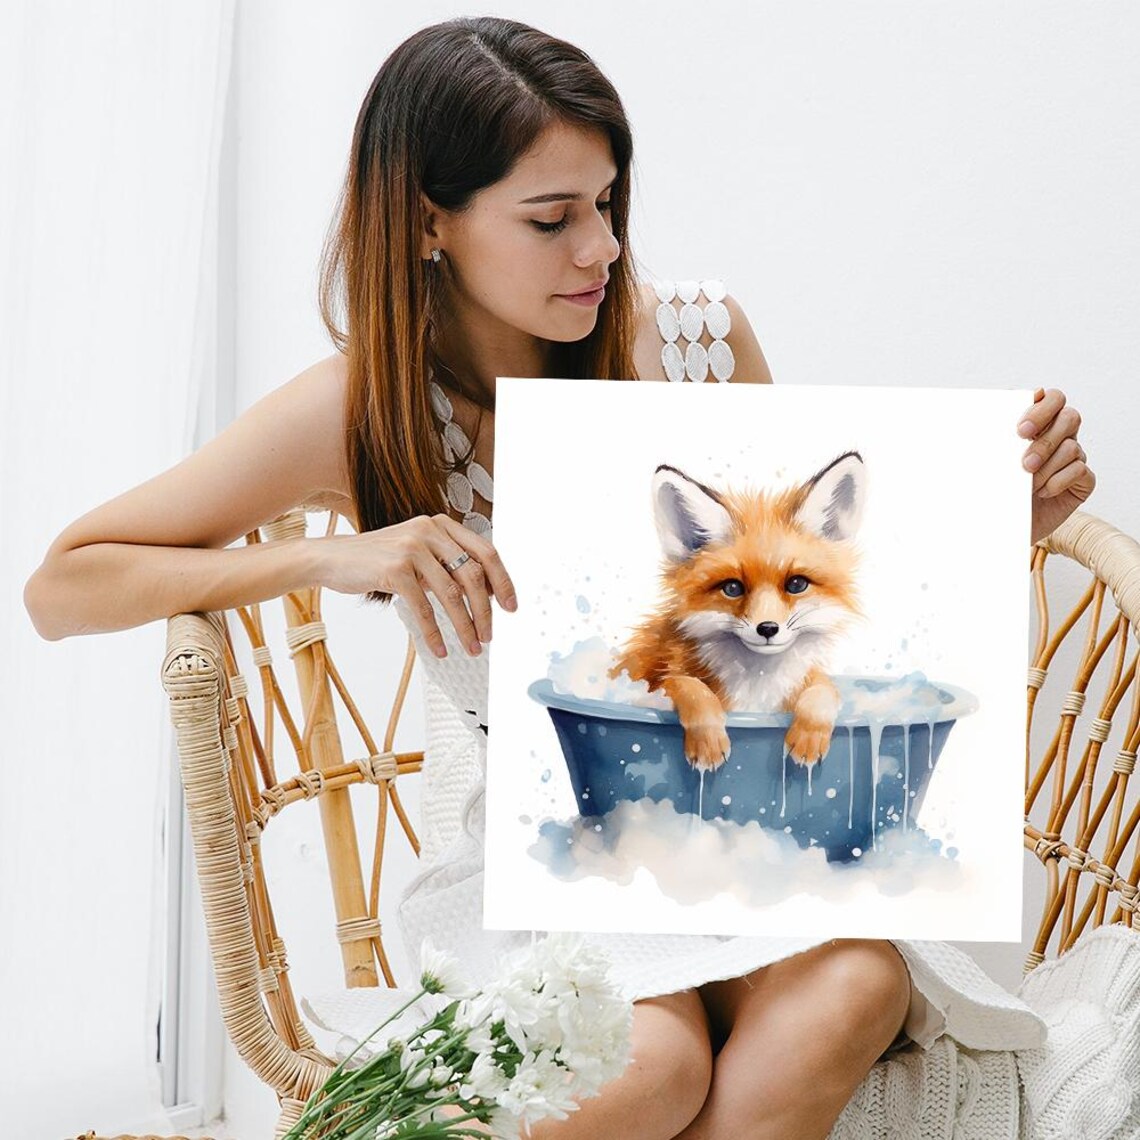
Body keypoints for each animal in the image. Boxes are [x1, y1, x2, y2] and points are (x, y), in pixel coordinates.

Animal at [608, 452, 866, 771]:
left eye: (796, 584)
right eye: (732, 588)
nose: (767, 628)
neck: (759, 683)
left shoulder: (806, 680)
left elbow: (824, 690)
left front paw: (808, 737)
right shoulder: (657, 680)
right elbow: (690, 686)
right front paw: (708, 741)